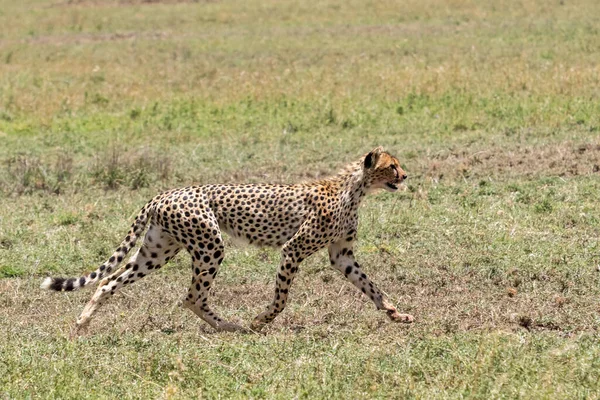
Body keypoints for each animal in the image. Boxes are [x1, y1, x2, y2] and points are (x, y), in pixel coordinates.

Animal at [41, 146, 412, 332]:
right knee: (192, 297)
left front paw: (396, 313)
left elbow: (371, 286)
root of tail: (163, 193)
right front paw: (262, 320)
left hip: (156, 252)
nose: (406, 176)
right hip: (209, 245)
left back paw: (83, 323)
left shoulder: (342, 256)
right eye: (392, 166)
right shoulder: (292, 250)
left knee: (108, 282)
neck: (355, 189)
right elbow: (282, 298)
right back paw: (232, 326)